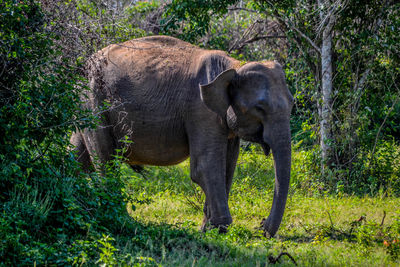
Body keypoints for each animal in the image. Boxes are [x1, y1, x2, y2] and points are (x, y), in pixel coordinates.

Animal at [70, 36, 292, 239]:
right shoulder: (201, 111)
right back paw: (122, 222)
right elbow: (205, 167)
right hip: (94, 100)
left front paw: (207, 230)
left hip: (86, 105)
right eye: (260, 108)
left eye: (292, 104)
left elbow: (228, 167)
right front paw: (220, 229)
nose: (261, 227)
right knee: (106, 160)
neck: (233, 66)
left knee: (78, 154)